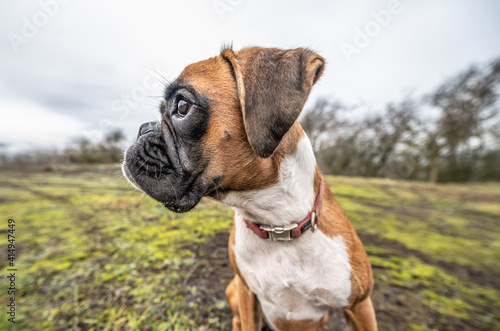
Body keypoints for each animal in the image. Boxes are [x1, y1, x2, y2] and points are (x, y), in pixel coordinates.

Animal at [123, 46, 376, 331]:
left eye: (182, 106)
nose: (143, 128)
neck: (277, 223)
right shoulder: (246, 292)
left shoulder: (360, 305)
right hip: (233, 291)